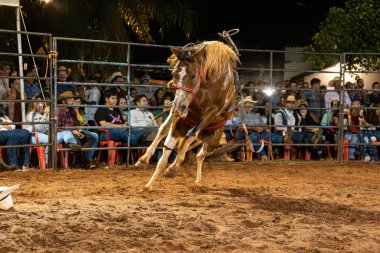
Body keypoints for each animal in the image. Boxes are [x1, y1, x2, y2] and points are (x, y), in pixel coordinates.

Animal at [135, 40, 239, 190]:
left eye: (193, 75)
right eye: (174, 74)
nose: (180, 108)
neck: (209, 80)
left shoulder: (211, 112)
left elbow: (191, 134)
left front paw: (173, 168)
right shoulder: (180, 108)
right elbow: (164, 128)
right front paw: (144, 159)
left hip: (212, 142)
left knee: (199, 155)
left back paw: (194, 178)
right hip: (181, 128)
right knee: (165, 157)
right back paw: (150, 184)